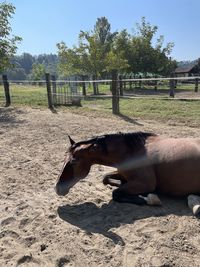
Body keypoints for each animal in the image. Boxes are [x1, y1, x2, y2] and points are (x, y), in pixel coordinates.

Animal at [55, 133, 200, 217]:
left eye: (74, 161)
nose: (57, 188)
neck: (133, 151)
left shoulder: (145, 184)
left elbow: (116, 193)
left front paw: (150, 198)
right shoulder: (124, 175)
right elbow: (105, 178)